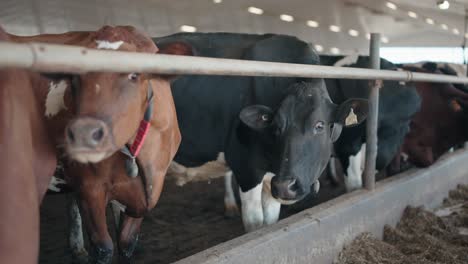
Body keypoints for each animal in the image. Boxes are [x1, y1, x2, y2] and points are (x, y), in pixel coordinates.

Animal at [11, 25, 192, 264]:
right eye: (74, 78)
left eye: (134, 74)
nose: (82, 134)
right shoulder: (89, 187)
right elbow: (104, 247)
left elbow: (127, 242)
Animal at [155, 32, 368, 231]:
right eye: (275, 125)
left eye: (319, 125)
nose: (285, 186)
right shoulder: (246, 168)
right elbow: (255, 224)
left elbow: (270, 222)